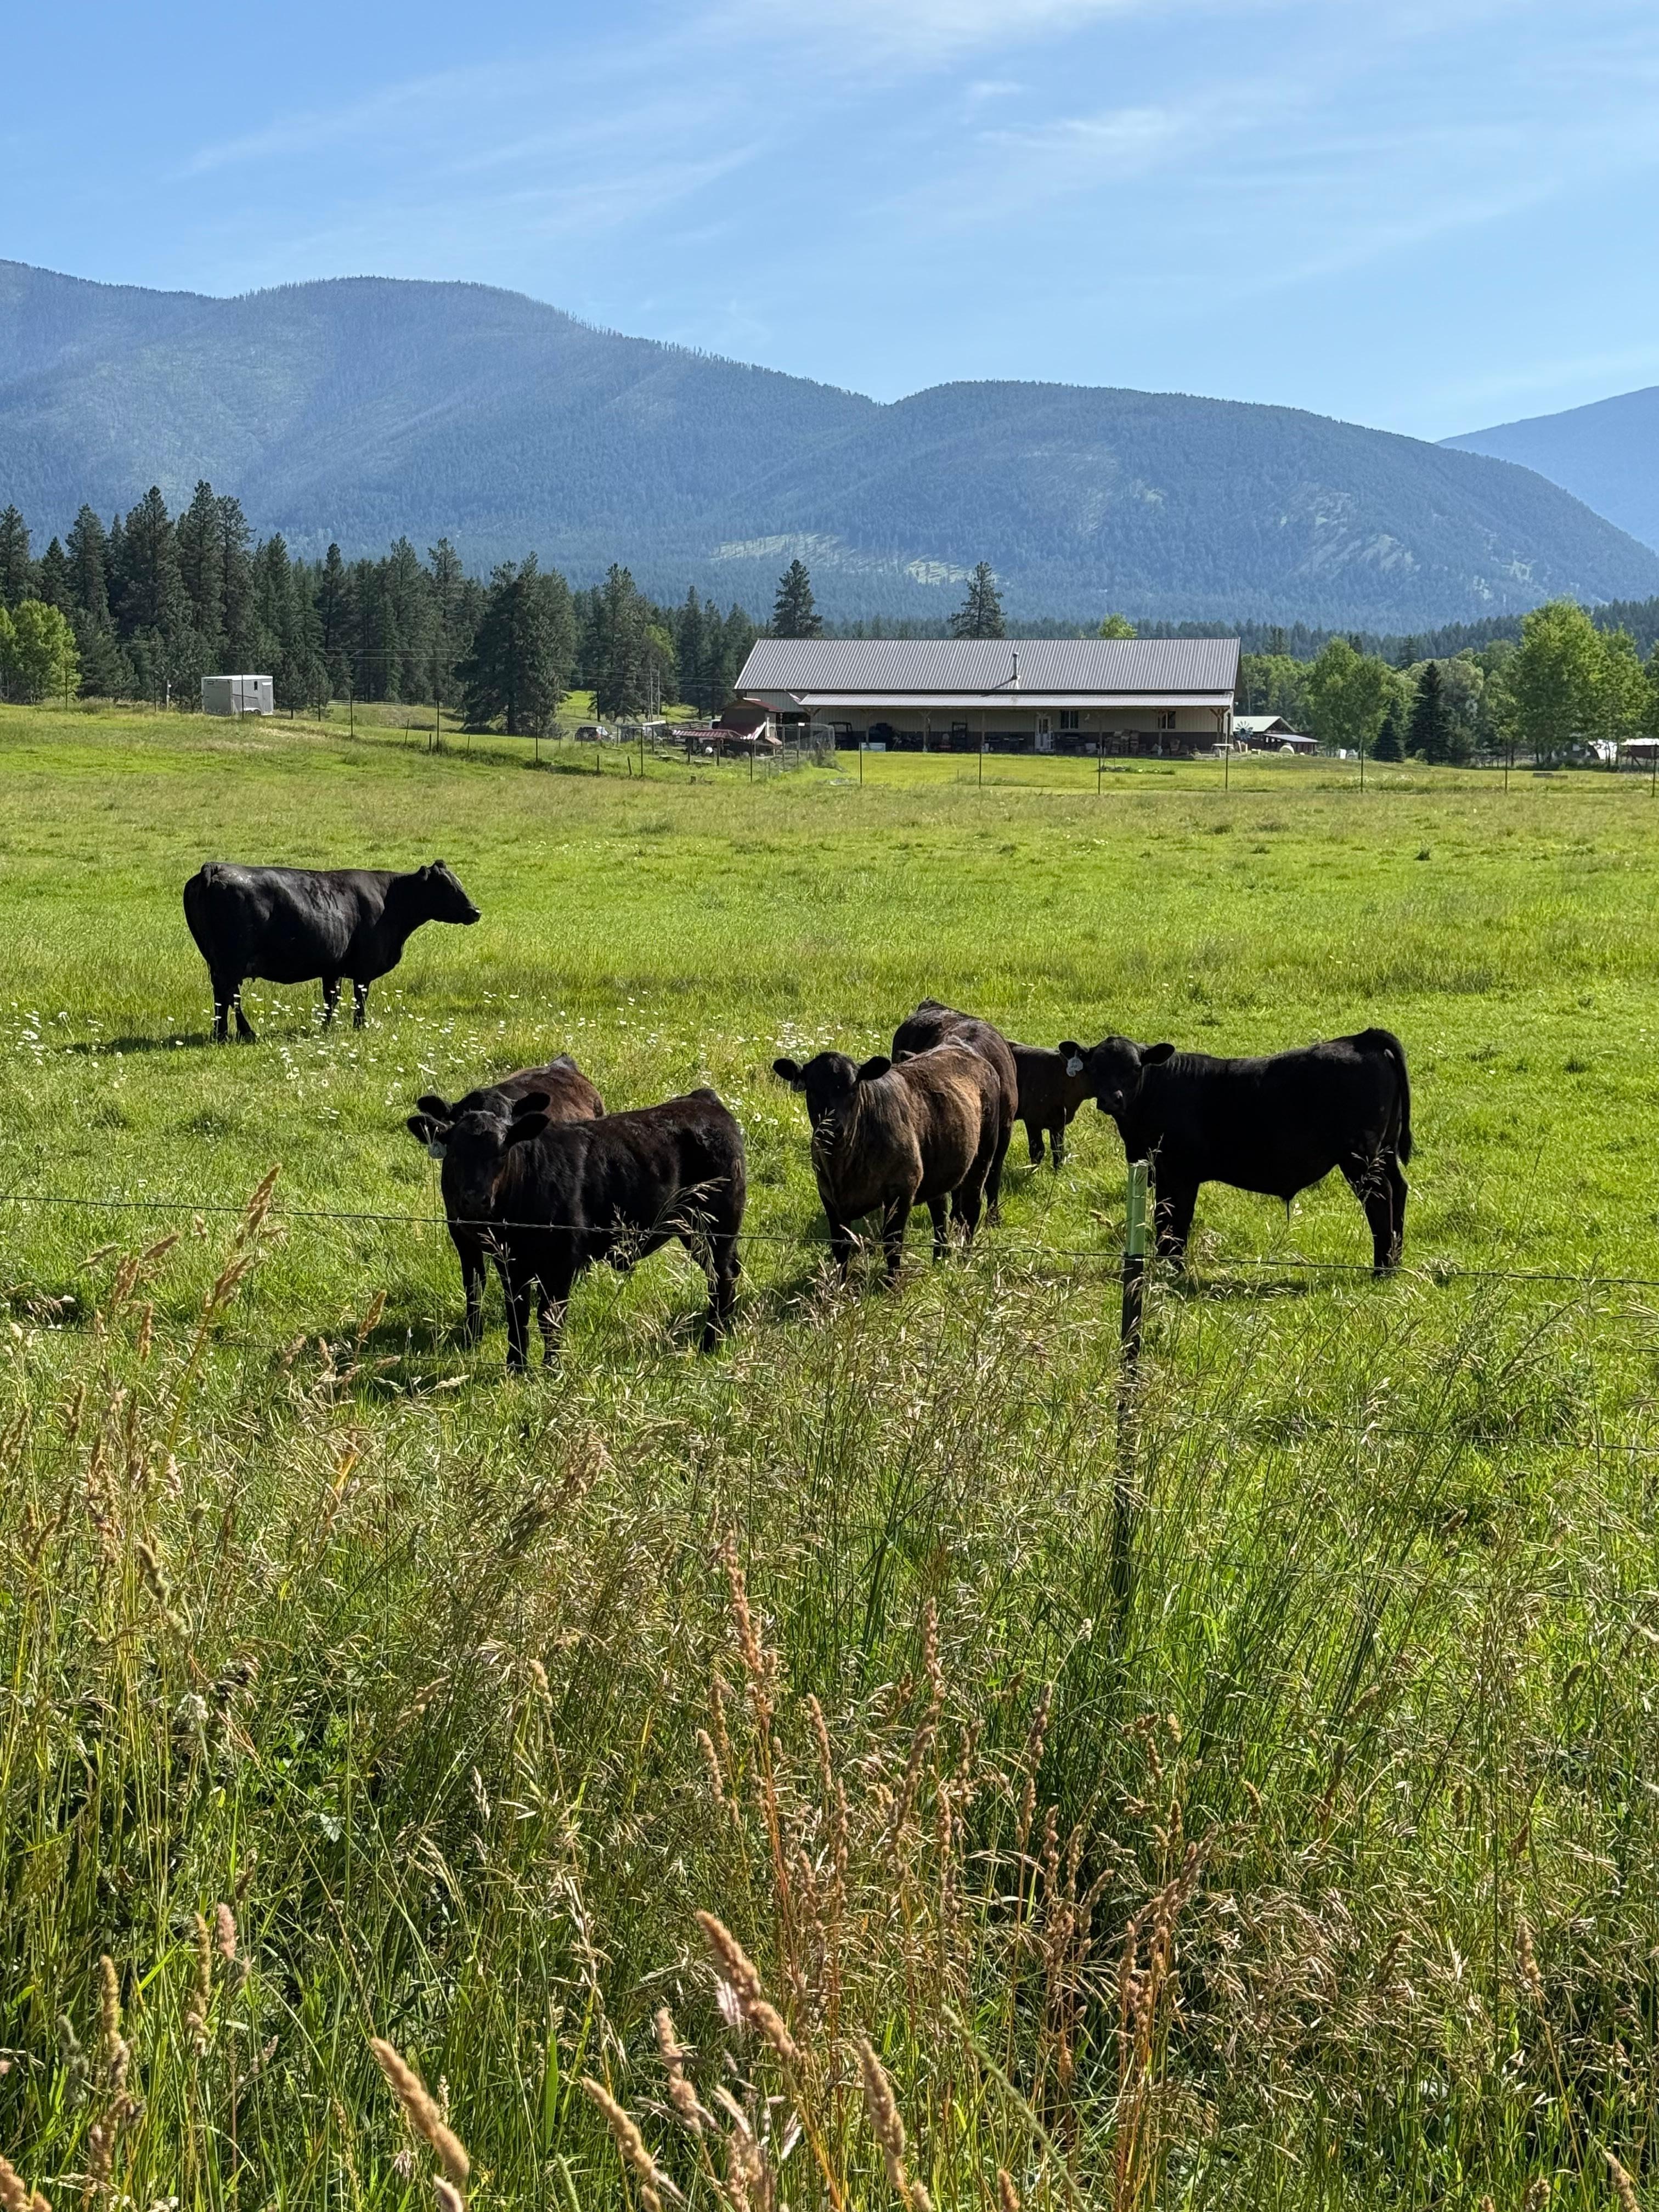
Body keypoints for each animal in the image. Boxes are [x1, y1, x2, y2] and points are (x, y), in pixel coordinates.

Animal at [182, 860, 481, 1041]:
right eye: (447, 886)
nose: (475, 911)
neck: (391, 900)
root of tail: (216, 867)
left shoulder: (333, 967)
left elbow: (331, 999)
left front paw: (327, 1028)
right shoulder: (364, 967)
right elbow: (360, 997)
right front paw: (360, 1026)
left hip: (216, 962)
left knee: (221, 997)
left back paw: (220, 1034)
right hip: (232, 962)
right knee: (232, 996)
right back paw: (247, 1033)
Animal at [404, 1087, 745, 1369]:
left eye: (503, 1150)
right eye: (454, 1151)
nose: (475, 1198)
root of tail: (702, 1100)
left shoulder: (562, 1261)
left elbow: (550, 1317)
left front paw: (551, 1368)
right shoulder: (510, 1261)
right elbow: (516, 1312)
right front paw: (517, 1366)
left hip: (718, 1224)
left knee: (722, 1277)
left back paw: (711, 1343)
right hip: (693, 1228)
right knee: (726, 1272)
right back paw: (725, 1331)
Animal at [406, 1056, 605, 1342]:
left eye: (506, 1146)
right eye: (454, 1152)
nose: (475, 1199)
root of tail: (561, 1063)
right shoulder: (458, 1230)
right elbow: (474, 1282)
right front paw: (472, 1334)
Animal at [772, 1043, 1005, 1279]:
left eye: (853, 1089)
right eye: (812, 1090)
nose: (832, 1128)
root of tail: (960, 1047)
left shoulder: (902, 1189)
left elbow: (893, 1243)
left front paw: (893, 1283)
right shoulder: (827, 1194)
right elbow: (840, 1245)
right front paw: (839, 1285)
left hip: (983, 1156)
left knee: (970, 1209)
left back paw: (965, 1261)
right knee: (939, 1211)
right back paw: (940, 1259)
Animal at [1059, 1027, 1413, 1272]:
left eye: (1134, 1067)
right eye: (1094, 1068)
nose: (1111, 1099)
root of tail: (1361, 1038)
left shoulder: (1178, 1174)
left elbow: (1172, 1223)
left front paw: (1171, 1271)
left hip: (1359, 1157)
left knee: (1380, 1196)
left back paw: (1382, 1268)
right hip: (1384, 1150)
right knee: (1398, 1188)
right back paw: (1394, 1261)